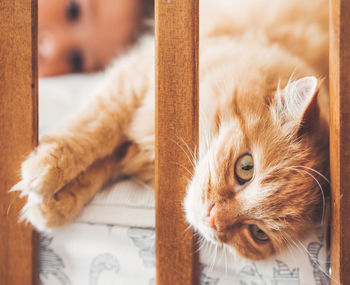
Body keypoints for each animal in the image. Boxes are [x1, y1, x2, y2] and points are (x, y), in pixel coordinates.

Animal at [12, 0, 330, 260]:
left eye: (258, 234)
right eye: (246, 168)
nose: (213, 220)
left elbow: (100, 167)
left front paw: (51, 206)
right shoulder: (134, 80)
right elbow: (95, 130)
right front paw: (44, 171)